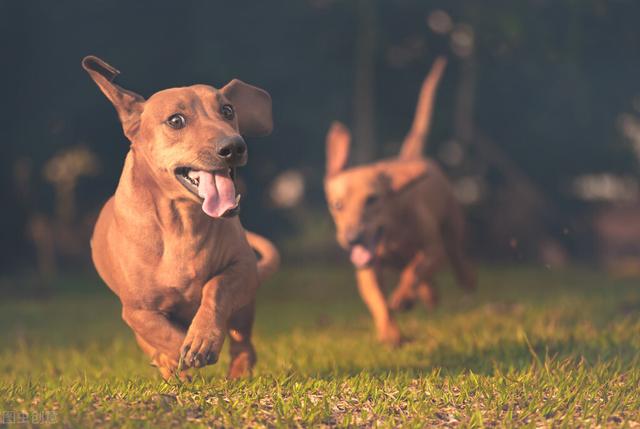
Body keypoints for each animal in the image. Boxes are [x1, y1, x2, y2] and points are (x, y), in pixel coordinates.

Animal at [82, 54, 278, 378]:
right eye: (176, 120)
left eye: (227, 110)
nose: (234, 146)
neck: (182, 225)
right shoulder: (137, 310)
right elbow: (163, 334)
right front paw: (180, 355)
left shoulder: (244, 268)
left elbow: (216, 288)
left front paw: (202, 338)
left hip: (244, 309)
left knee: (243, 344)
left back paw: (238, 371)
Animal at [324, 56, 476, 344]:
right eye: (338, 206)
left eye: (372, 200)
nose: (352, 239)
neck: (391, 234)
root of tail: (408, 156)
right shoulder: (367, 269)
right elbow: (378, 300)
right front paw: (390, 333)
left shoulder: (433, 250)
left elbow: (415, 270)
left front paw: (404, 296)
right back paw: (428, 296)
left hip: (453, 230)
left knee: (456, 259)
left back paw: (464, 288)